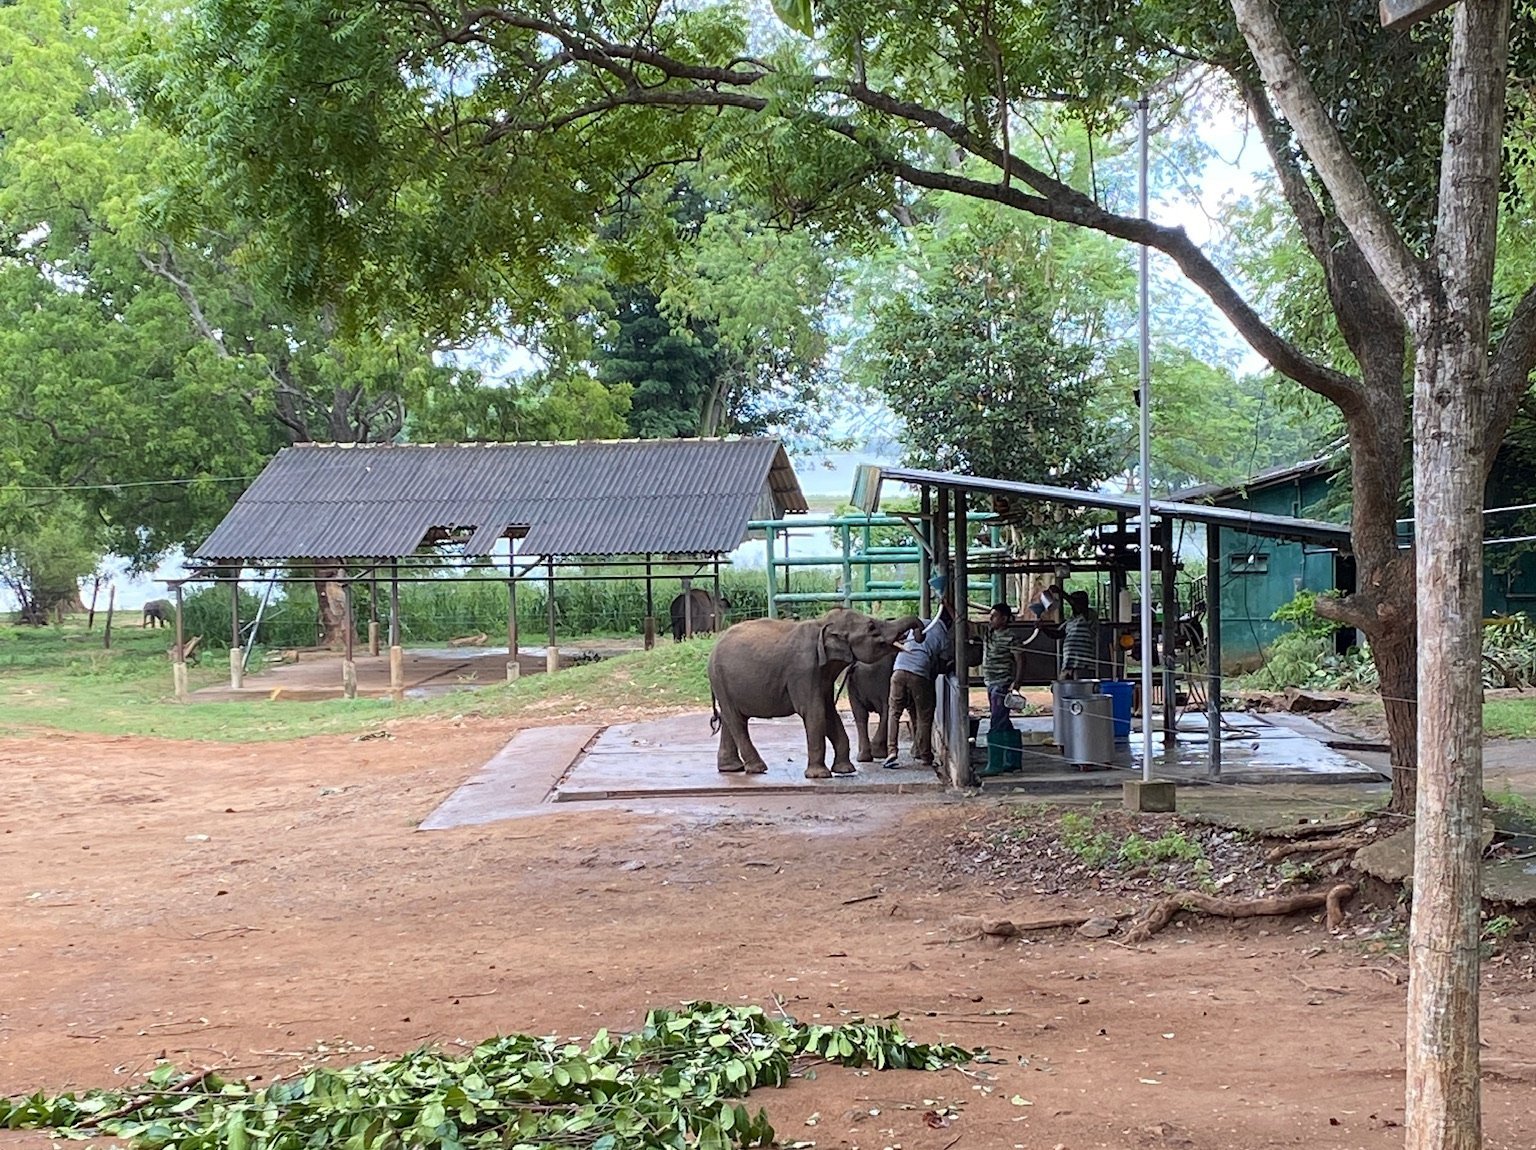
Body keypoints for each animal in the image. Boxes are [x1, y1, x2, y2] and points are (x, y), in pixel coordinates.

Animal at [706, 604, 909, 776]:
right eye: (872, 627)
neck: (822, 625)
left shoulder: (823, 676)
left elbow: (829, 713)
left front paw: (845, 770)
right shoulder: (804, 671)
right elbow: (815, 712)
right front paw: (820, 775)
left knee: (730, 718)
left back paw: (732, 768)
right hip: (720, 679)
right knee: (735, 719)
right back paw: (757, 768)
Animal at [841, 611, 921, 761]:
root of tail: (856, 663)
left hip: (854, 685)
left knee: (860, 714)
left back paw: (864, 757)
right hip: (879, 678)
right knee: (886, 710)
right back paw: (879, 754)